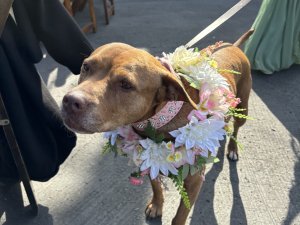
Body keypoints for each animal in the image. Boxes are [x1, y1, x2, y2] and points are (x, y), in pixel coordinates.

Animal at [62, 31, 252, 225]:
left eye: (126, 84)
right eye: (85, 67)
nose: (70, 101)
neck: (160, 119)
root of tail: (232, 45)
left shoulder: (194, 181)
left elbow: (180, 215)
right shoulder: (147, 158)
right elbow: (156, 186)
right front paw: (157, 205)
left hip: (243, 109)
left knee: (236, 129)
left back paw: (232, 149)